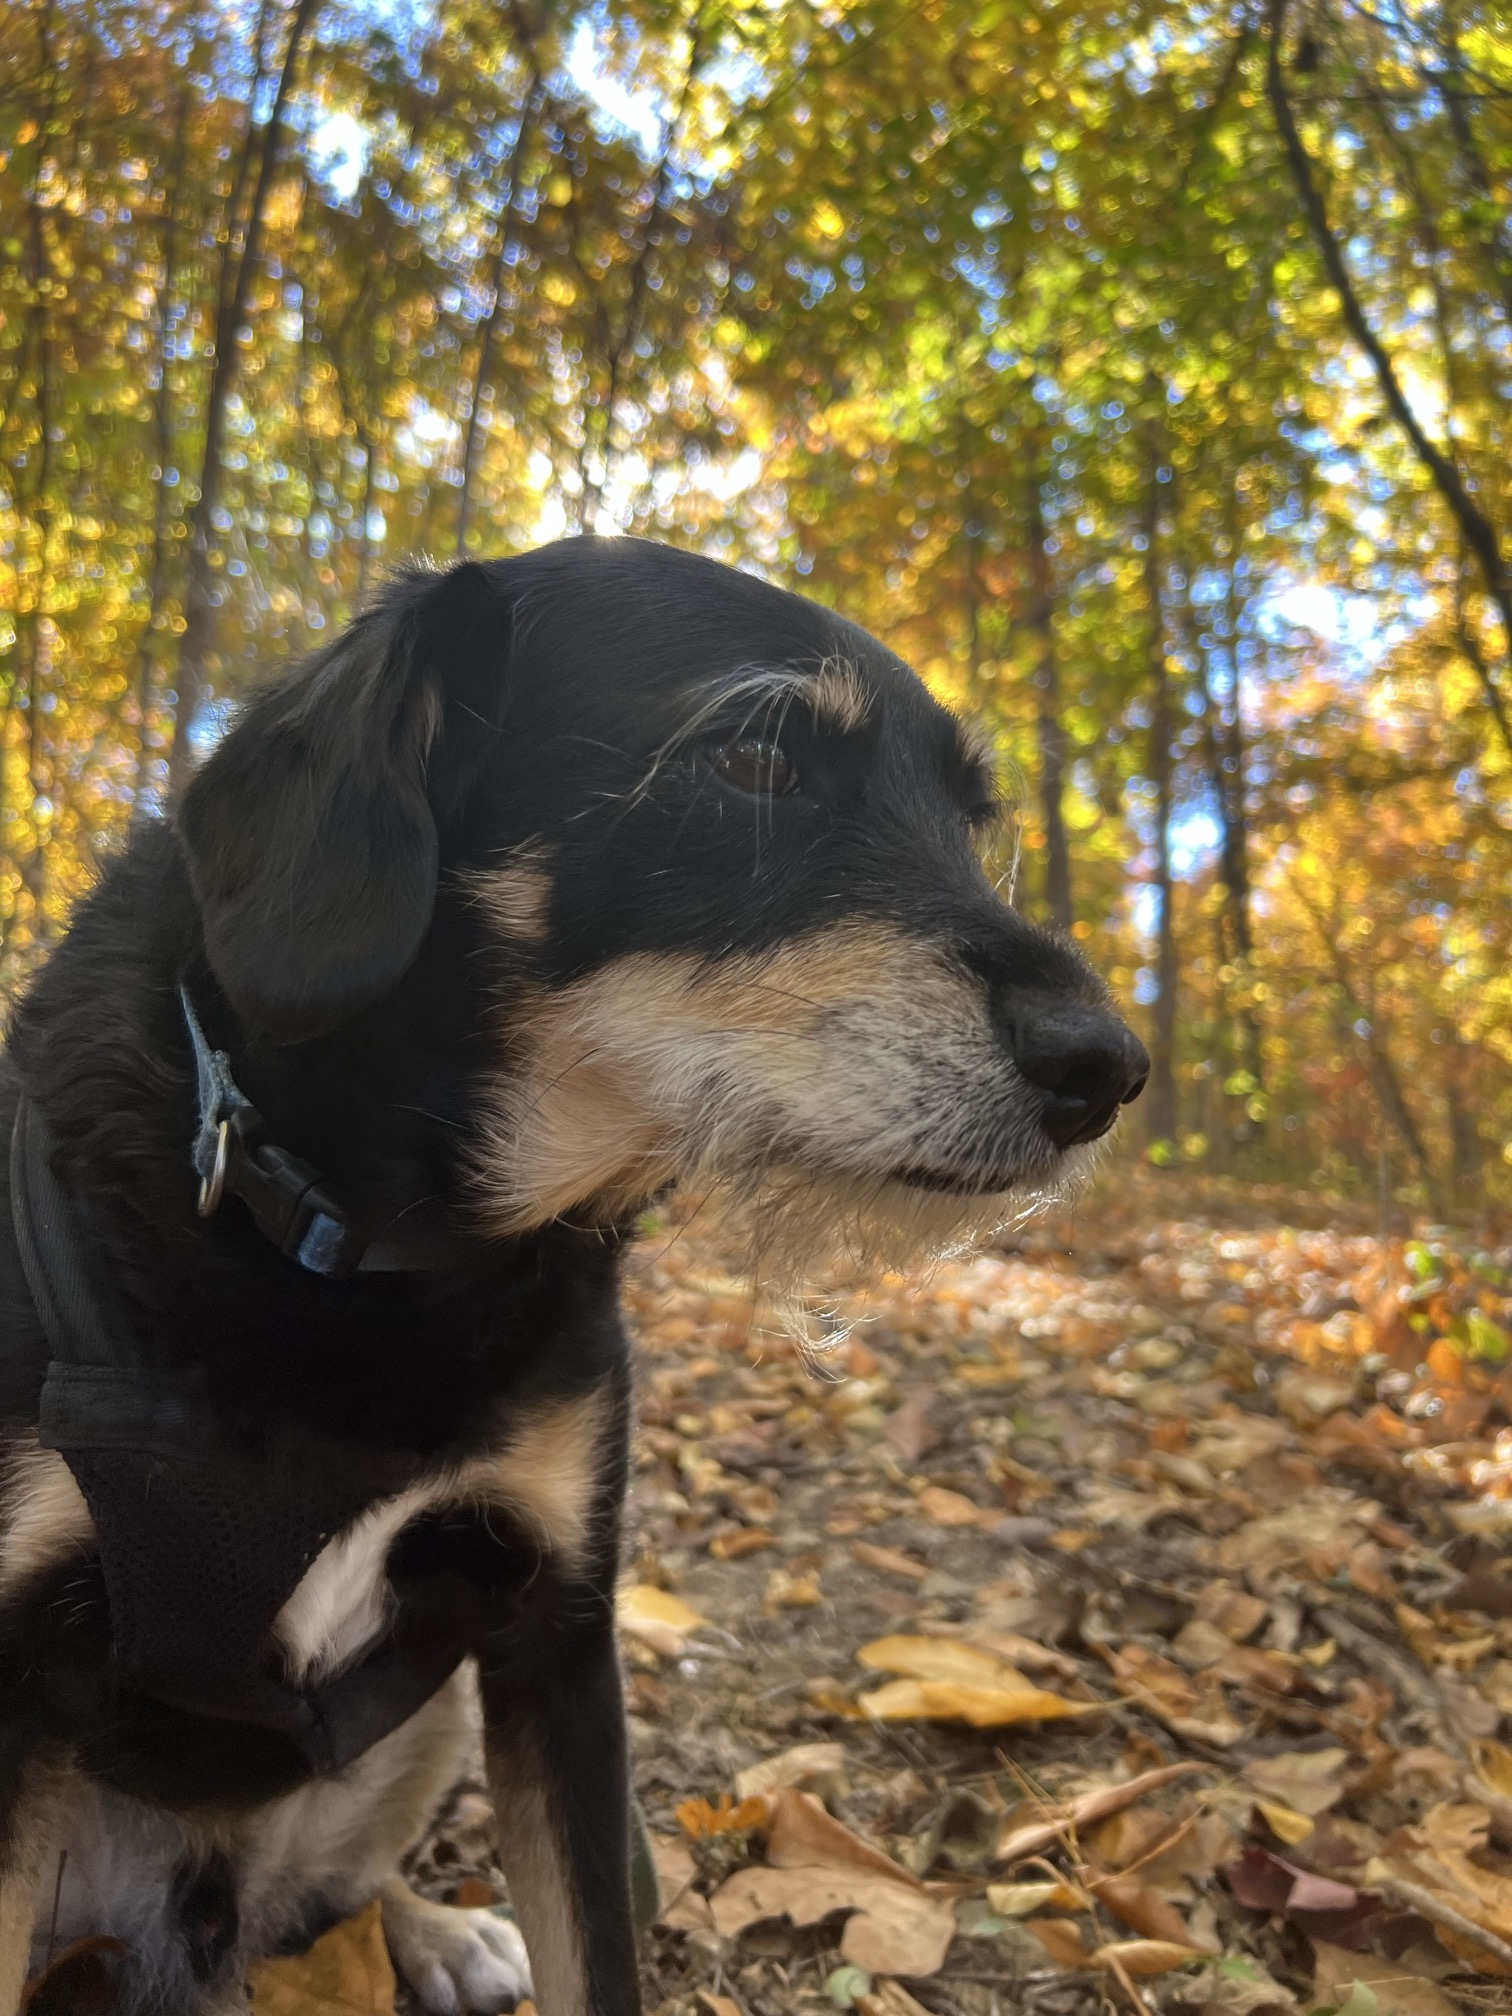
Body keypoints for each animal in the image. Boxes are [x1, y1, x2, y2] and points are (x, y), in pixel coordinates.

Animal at [0, 540, 1145, 2016]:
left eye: (969, 816)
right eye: (755, 758)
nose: (1109, 1067)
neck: (395, 1254)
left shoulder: (557, 1632)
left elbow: (594, 1946)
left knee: (327, 1897)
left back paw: (434, 1930)